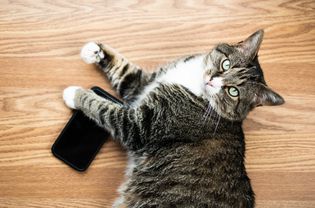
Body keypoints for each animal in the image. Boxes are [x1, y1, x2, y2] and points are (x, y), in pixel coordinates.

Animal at [63, 29, 284, 208]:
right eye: (226, 64)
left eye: (233, 92)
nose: (212, 80)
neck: (197, 85)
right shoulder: (144, 84)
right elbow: (125, 71)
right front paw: (94, 50)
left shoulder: (140, 125)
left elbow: (104, 108)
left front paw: (75, 94)